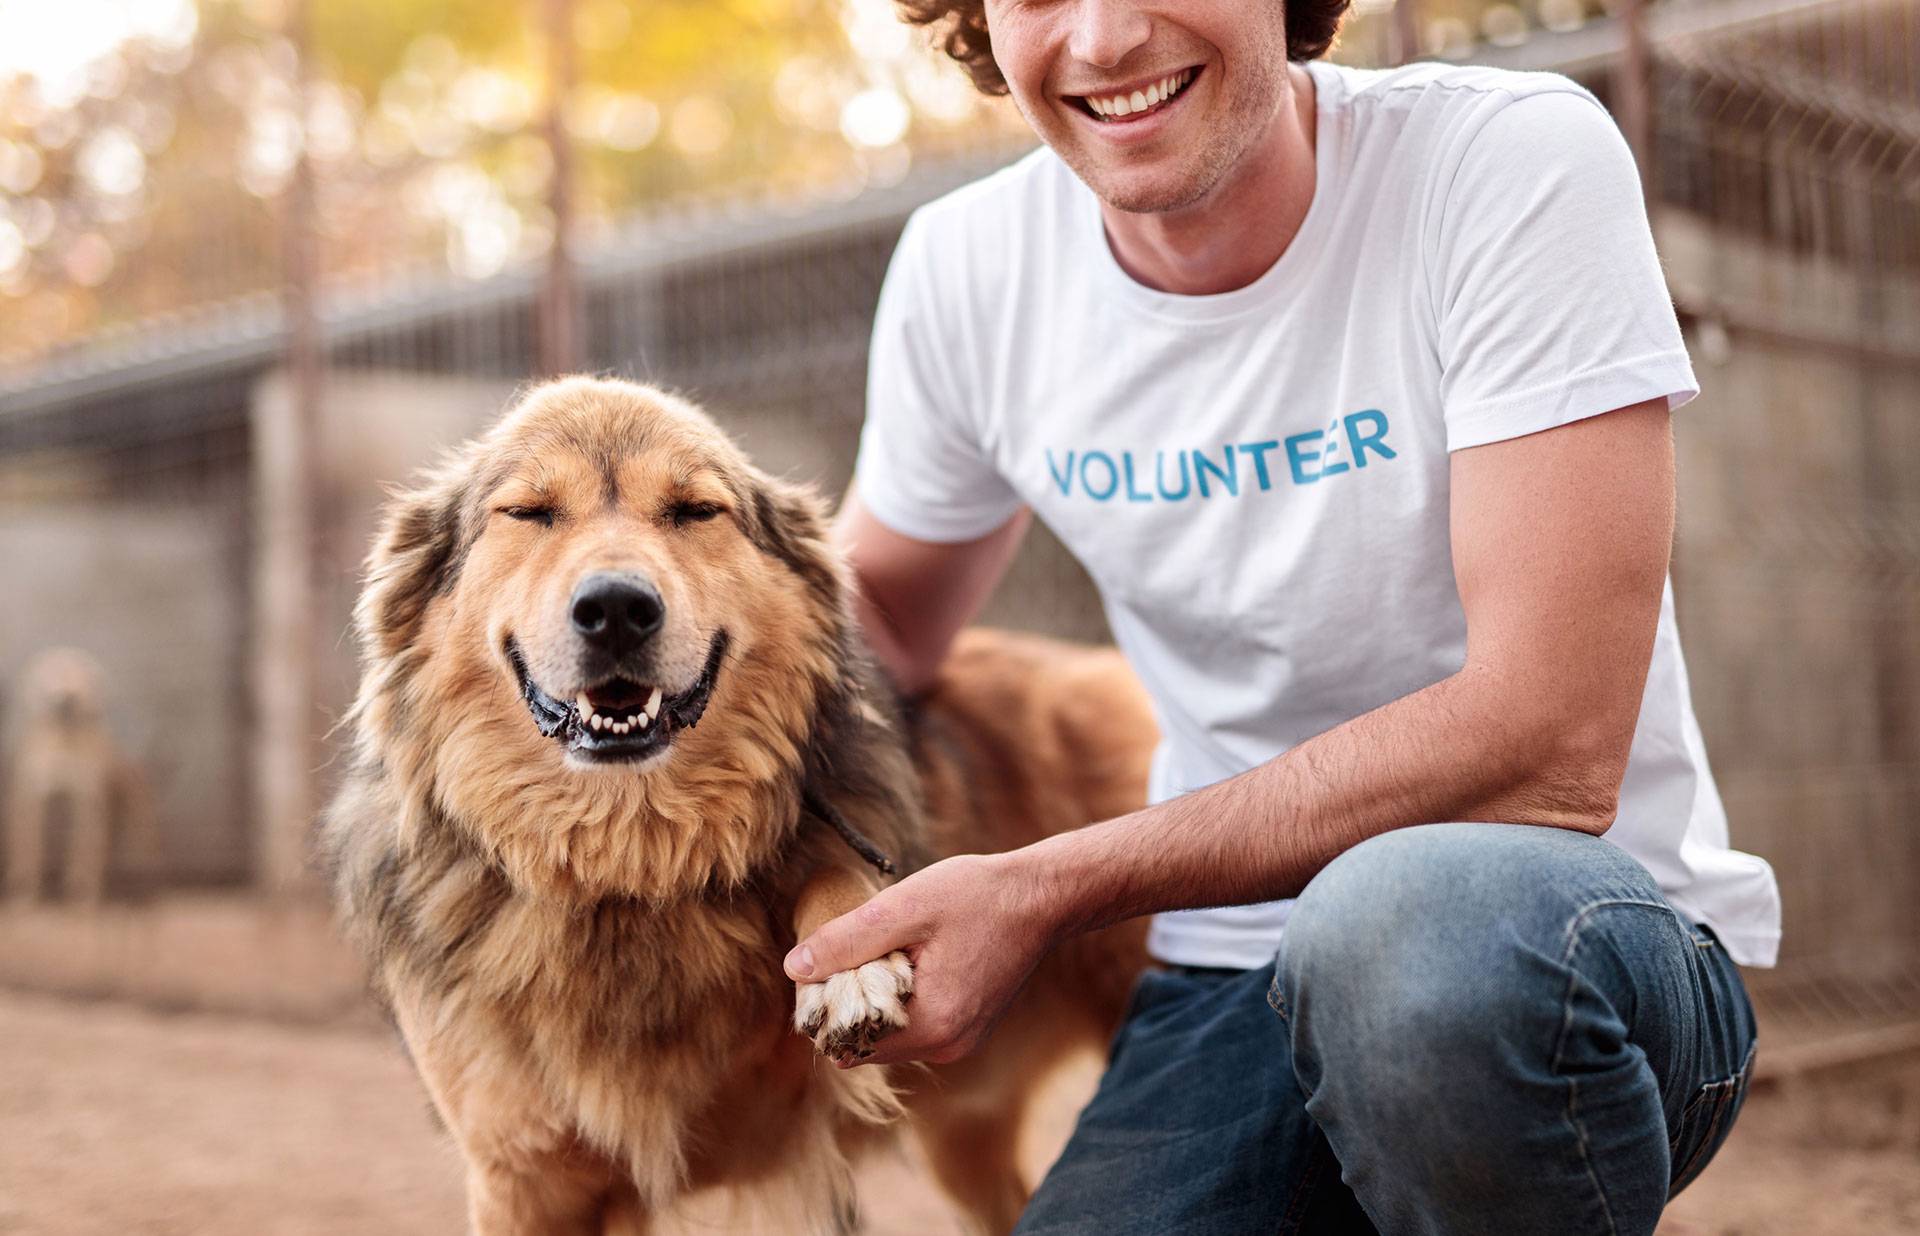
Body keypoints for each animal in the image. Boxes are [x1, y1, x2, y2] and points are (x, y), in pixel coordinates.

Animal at [3, 652, 155, 902]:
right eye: (56, 671)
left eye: (83, 675)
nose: (69, 698)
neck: (63, 739)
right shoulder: (31, 800)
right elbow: (28, 850)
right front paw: (24, 895)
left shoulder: (86, 801)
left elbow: (83, 852)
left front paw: (81, 896)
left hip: (133, 816)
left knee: (136, 852)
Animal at [322, 378, 1152, 1236]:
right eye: (528, 512)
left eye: (695, 510)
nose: (616, 608)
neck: (630, 870)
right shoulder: (520, 1179)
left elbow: (833, 868)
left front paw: (850, 969)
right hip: (963, 1145)